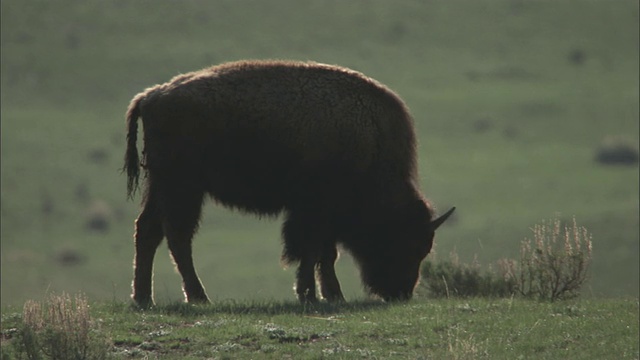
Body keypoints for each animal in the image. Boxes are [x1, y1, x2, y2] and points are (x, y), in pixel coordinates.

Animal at [124, 59, 456, 306]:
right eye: (405, 242)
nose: (400, 292)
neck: (370, 141)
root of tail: (152, 95)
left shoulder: (323, 216)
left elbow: (324, 254)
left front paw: (331, 295)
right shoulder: (313, 211)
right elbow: (310, 251)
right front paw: (311, 295)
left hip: (162, 187)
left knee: (149, 230)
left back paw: (144, 299)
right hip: (183, 188)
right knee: (177, 237)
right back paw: (197, 297)